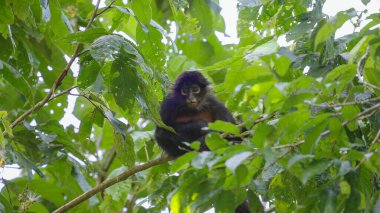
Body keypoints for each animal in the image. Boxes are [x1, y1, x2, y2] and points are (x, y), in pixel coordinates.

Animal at [153, 71, 251, 213]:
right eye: (185, 91)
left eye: (195, 89)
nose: (190, 97)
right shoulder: (169, 104)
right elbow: (161, 132)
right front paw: (200, 126)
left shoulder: (213, 102)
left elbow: (233, 133)